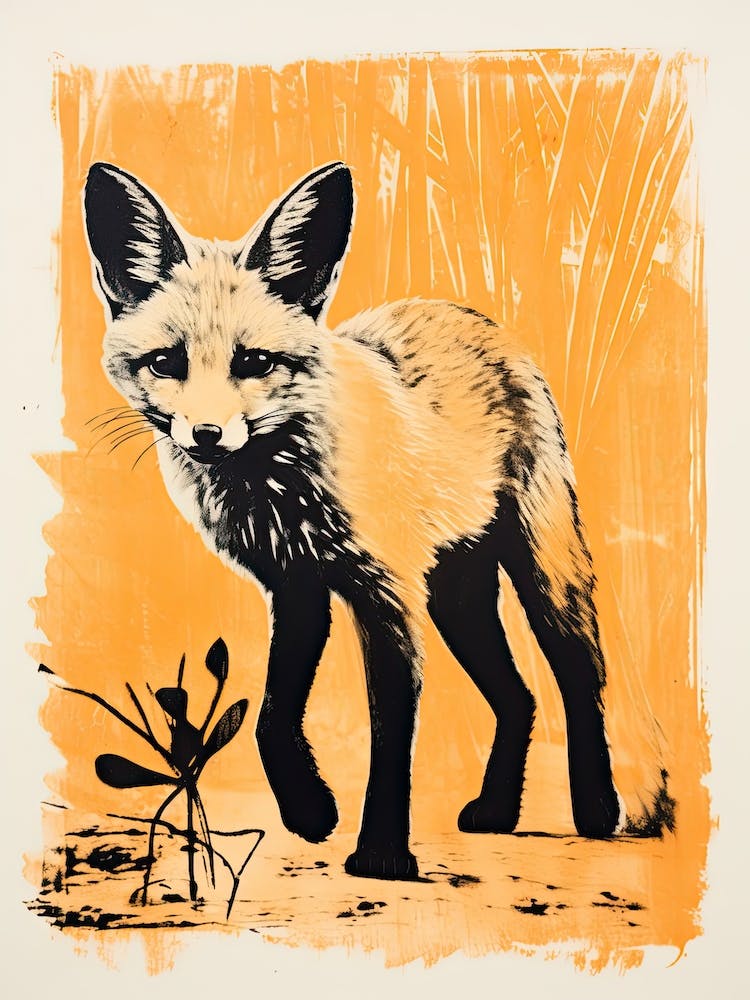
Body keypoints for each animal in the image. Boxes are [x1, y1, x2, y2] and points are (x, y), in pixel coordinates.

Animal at [83, 160, 624, 881]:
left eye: (254, 362)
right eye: (167, 362)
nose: (206, 436)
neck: (280, 493)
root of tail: (468, 315)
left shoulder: (385, 596)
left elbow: (390, 736)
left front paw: (382, 855)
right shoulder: (297, 588)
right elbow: (272, 718)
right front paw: (310, 812)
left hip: (540, 572)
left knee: (578, 678)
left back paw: (597, 808)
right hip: (457, 602)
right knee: (519, 698)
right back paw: (497, 810)